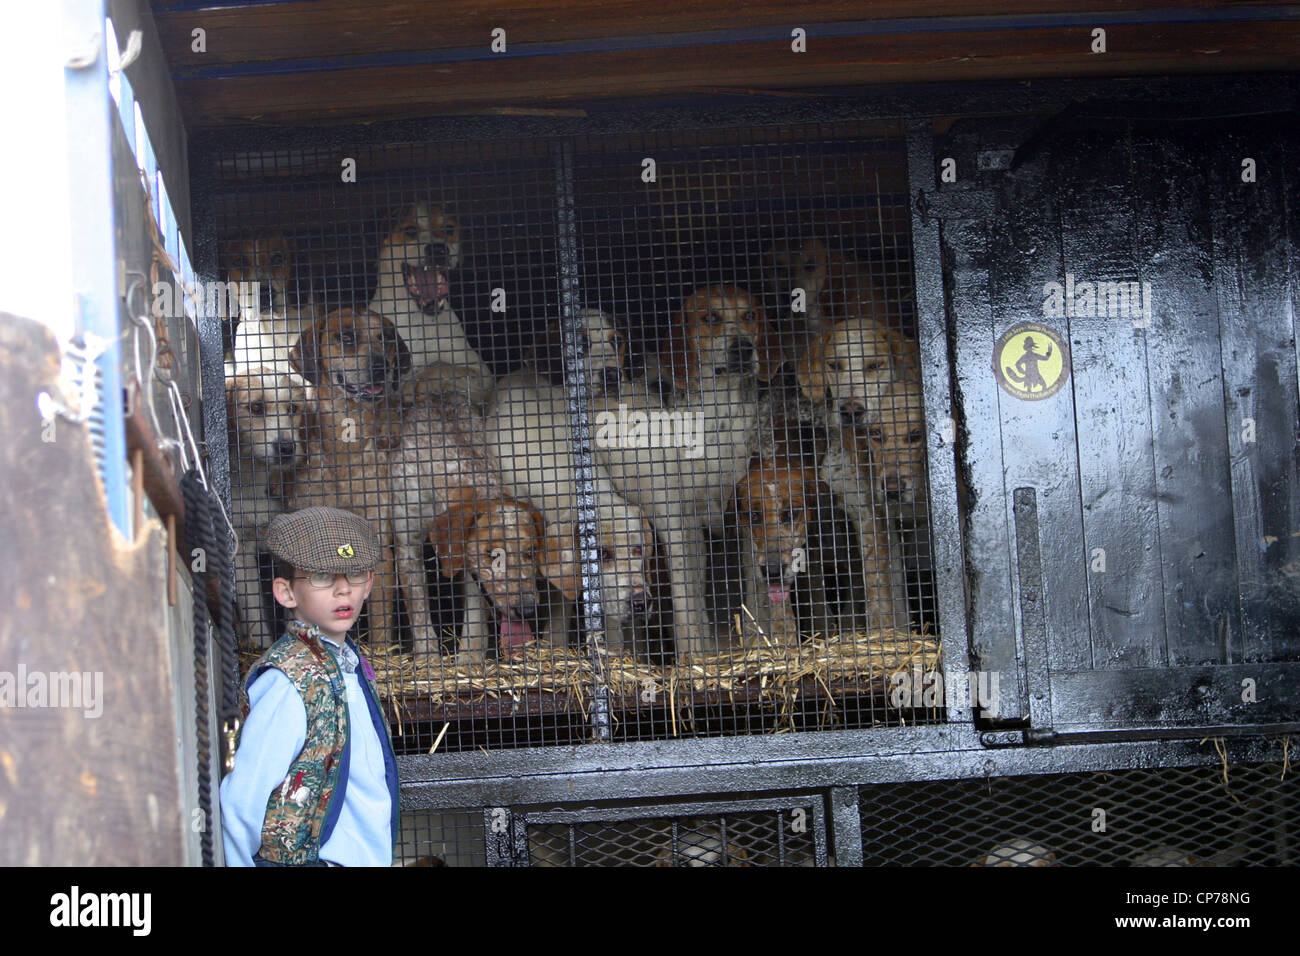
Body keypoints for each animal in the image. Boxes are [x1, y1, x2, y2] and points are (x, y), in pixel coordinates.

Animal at [226, 366, 309, 650]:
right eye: (256, 407)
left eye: (292, 408)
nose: (286, 447)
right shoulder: (240, 548)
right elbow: (252, 606)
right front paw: (261, 645)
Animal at [369, 201, 493, 395]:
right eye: (410, 231)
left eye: (449, 229)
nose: (439, 249)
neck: (416, 319)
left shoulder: (481, 372)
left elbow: (438, 365)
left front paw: (415, 382)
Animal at [592, 283, 780, 658]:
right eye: (710, 317)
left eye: (750, 315)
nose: (743, 348)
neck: (718, 418)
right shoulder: (679, 522)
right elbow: (687, 599)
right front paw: (693, 655)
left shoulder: (744, 515)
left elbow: (752, 590)